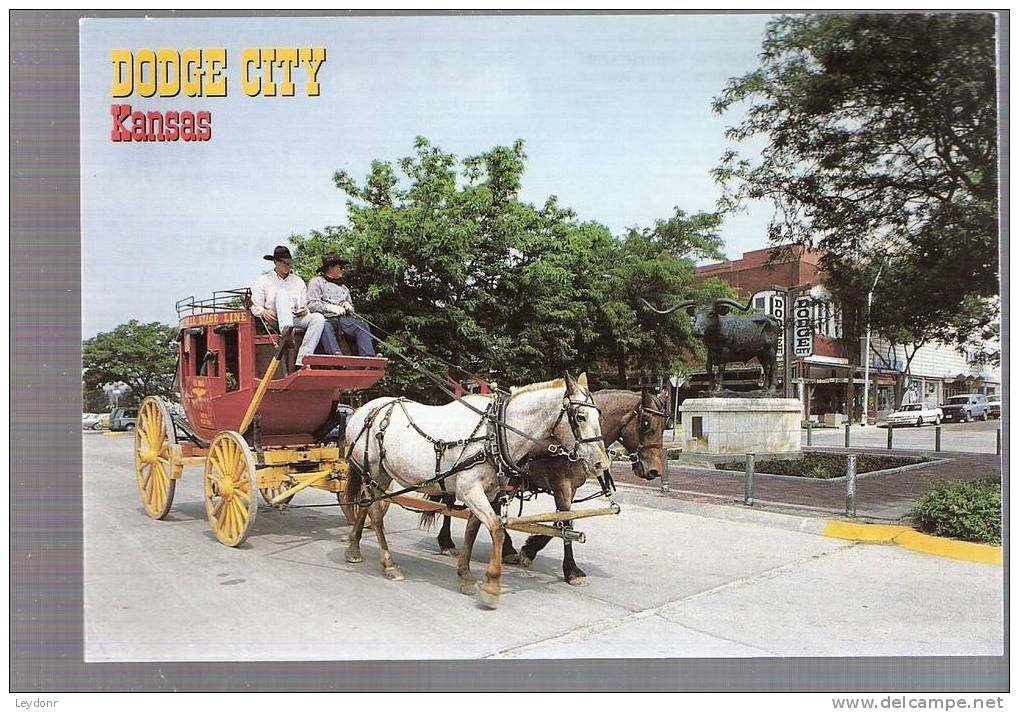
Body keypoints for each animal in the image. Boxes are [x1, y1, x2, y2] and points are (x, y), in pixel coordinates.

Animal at [342, 370, 611, 611]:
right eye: (580, 416)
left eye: (599, 415)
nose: (601, 463)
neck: (494, 434)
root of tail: (364, 410)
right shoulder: (469, 490)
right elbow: (497, 528)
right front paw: (491, 585)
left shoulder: (488, 493)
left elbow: (473, 531)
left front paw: (466, 576)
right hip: (372, 471)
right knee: (376, 514)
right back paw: (389, 564)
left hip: (382, 475)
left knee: (365, 505)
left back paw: (353, 547)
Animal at [421, 389, 668, 586]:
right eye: (646, 423)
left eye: (665, 426)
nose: (654, 470)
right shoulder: (562, 485)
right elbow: (565, 523)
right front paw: (570, 570)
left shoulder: (570, 489)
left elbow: (561, 521)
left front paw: (529, 550)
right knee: (449, 504)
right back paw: (446, 542)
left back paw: (506, 548)